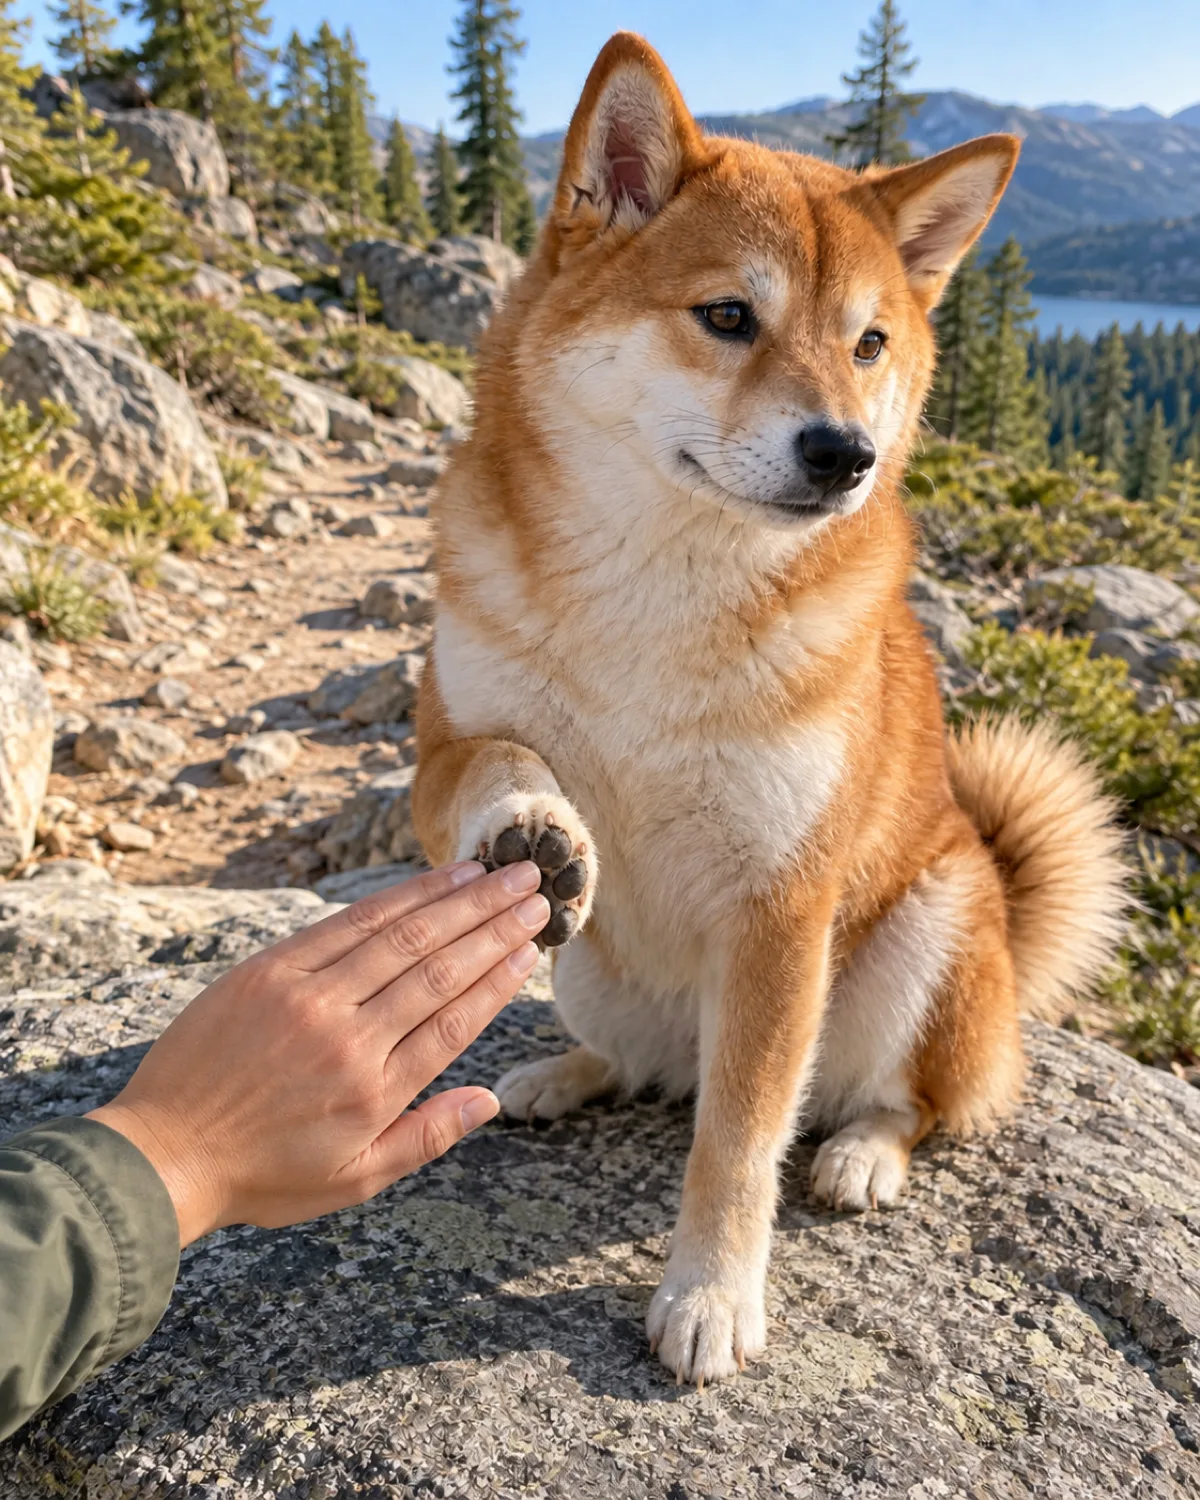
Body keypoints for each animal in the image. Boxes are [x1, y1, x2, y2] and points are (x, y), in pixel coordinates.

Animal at [412, 32, 1127, 1387]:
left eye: (869, 344)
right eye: (729, 317)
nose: (844, 453)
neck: (657, 599)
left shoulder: (779, 909)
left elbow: (740, 1138)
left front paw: (709, 1296)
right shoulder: (441, 744)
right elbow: (494, 761)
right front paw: (534, 819)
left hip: (926, 933)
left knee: (906, 1102)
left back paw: (860, 1154)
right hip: (593, 971)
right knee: (645, 1071)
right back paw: (564, 1073)